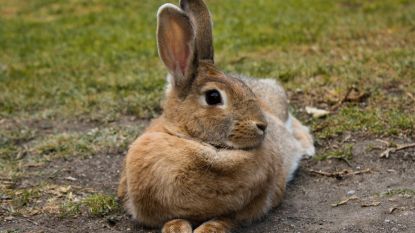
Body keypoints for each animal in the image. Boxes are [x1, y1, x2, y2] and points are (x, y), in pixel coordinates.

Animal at [118, 0, 316, 232]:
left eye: (244, 87)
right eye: (213, 97)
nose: (262, 125)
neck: (192, 140)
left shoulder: (251, 206)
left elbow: (225, 219)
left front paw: (206, 228)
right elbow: (173, 219)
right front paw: (176, 228)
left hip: (280, 107)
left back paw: (307, 147)